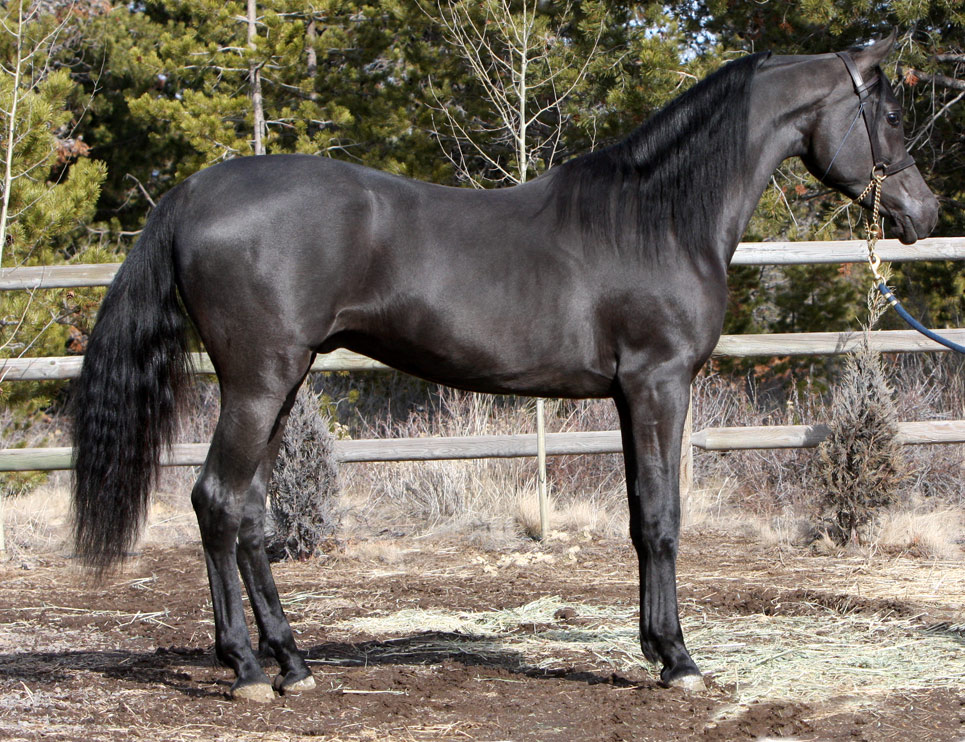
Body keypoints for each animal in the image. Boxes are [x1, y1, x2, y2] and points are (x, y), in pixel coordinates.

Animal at [71, 32, 938, 702]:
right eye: (891, 114)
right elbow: (661, 519)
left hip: (279, 385)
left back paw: (292, 662)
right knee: (217, 503)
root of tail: (194, 192)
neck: (657, 218)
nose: (922, 214)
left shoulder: (627, 395)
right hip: (258, 382)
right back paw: (248, 670)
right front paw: (679, 660)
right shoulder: (657, 385)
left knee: (251, 514)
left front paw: (656, 649)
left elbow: (638, 515)